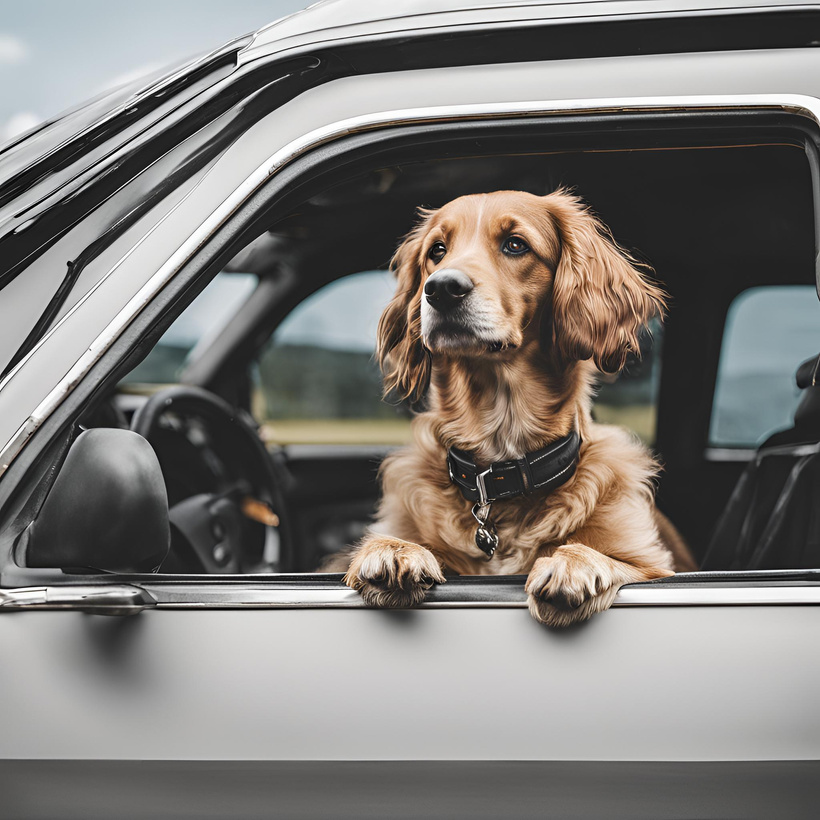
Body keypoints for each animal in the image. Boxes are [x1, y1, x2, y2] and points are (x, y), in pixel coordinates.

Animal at [324, 189, 696, 624]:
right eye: (437, 250)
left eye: (515, 245)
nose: (441, 289)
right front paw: (392, 550)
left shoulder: (652, 564)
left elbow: (611, 556)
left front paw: (573, 563)